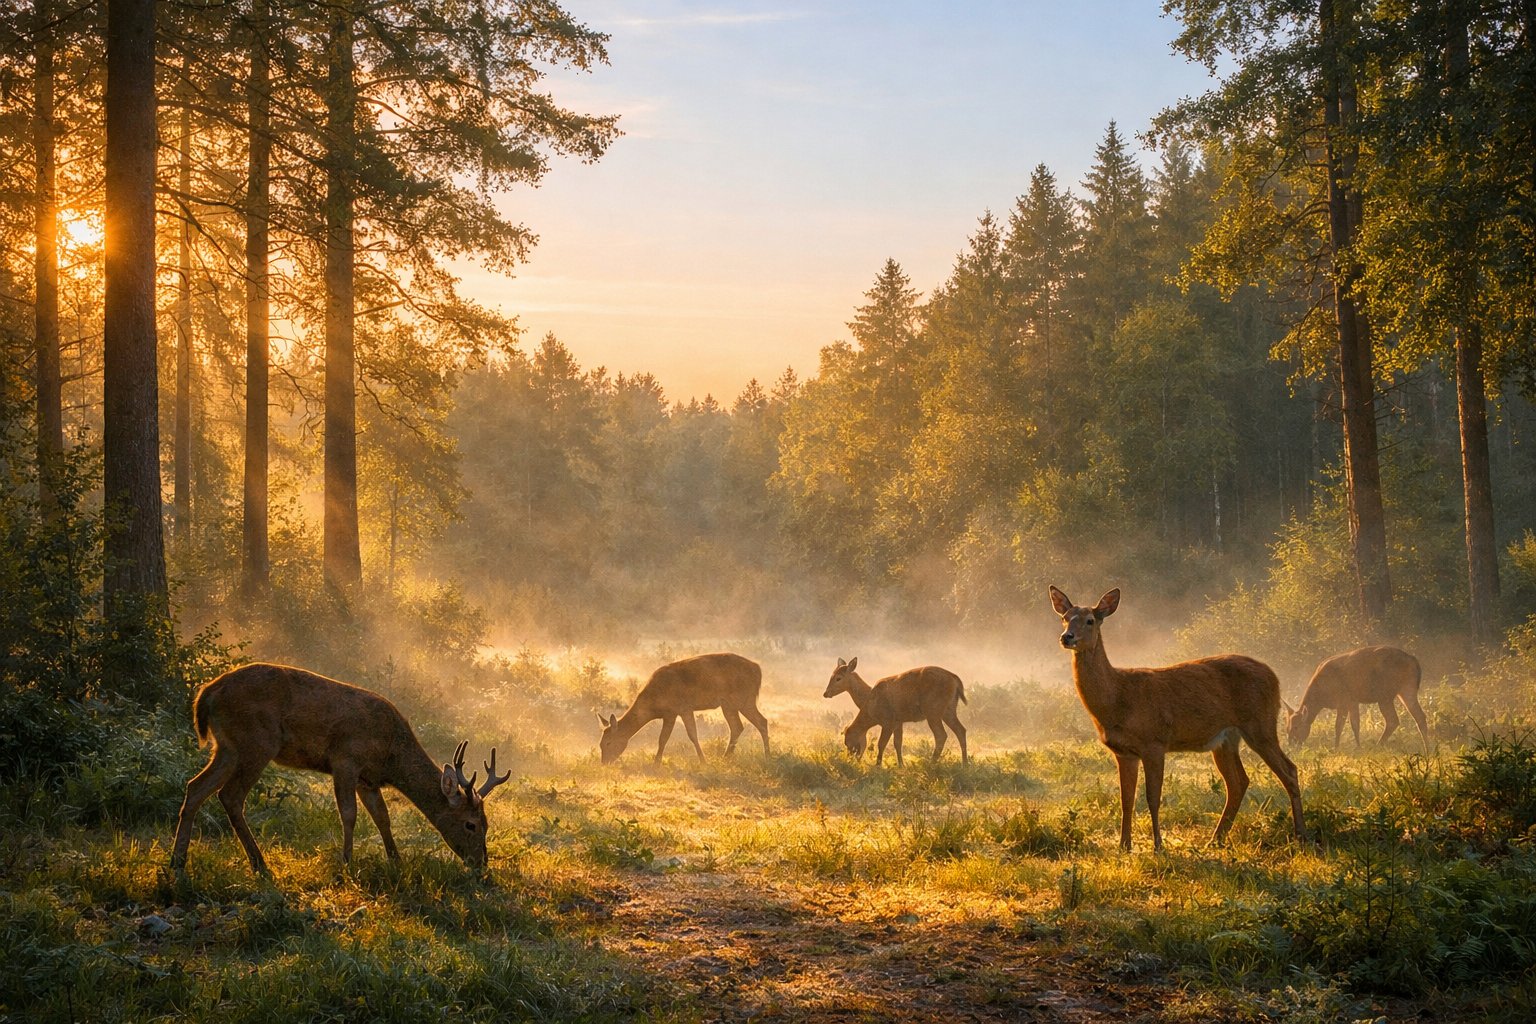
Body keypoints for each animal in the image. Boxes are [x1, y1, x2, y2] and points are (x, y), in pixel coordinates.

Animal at [170, 662, 509, 875]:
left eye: (487, 823)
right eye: (470, 824)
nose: (482, 865)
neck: (390, 754)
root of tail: (206, 694)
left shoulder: (368, 779)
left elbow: (382, 817)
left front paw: (396, 861)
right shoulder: (345, 760)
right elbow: (349, 814)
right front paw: (347, 862)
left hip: (227, 747)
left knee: (195, 787)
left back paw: (178, 860)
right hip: (256, 741)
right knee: (230, 795)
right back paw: (260, 864)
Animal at [597, 652, 770, 764]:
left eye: (608, 743)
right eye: (600, 743)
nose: (605, 762)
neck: (653, 705)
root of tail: (758, 670)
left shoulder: (683, 707)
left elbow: (690, 735)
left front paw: (702, 761)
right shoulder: (670, 713)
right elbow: (663, 738)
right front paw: (657, 762)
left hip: (744, 698)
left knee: (762, 721)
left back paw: (767, 756)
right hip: (728, 704)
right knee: (737, 726)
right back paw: (726, 757)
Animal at [823, 658, 968, 766]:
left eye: (838, 678)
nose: (825, 693)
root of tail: (955, 679)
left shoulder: (888, 721)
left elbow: (881, 744)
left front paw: (878, 765)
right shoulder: (898, 721)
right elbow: (898, 743)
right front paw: (901, 765)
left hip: (933, 710)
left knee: (941, 735)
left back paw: (931, 763)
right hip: (949, 709)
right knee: (961, 730)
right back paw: (965, 764)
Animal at [1049, 586, 1305, 852]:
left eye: (1090, 620)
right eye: (1065, 618)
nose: (1067, 637)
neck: (1118, 698)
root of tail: (1275, 677)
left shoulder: (1154, 743)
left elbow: (1152, 797)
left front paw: (1158, 846)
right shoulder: (1124, 752)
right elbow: (1126, 799)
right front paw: (1124, 846)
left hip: (1261, 725)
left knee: (1289, 770)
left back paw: (1300, 836)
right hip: (1226, 739)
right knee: (1238, 782)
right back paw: (1215, 839)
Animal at [1285, 645, 1428, 750]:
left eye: (1296, 727)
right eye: (1287, 728)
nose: (1291, 744)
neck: (1322, 696)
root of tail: (1414, 660)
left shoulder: (1343, 699)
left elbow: (1339, 725)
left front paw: (1336, 748)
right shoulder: (1353, 701)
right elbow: (1355, 724)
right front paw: (1358, 747)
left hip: (1385, 694)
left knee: (1393, 720)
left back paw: (1378, 745)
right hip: (1406, 688)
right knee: (1419, 716)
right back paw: (1426, 748)